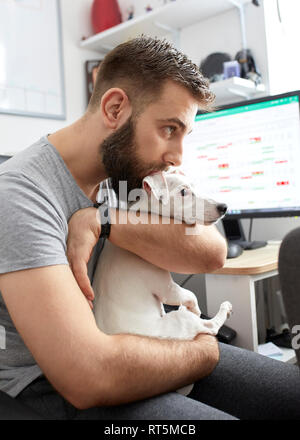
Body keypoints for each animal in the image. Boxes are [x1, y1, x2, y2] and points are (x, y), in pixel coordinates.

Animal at [92, 169, 232, 396]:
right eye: (184, 192)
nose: (224, 207)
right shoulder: (166, 289)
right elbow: (190, 295)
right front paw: (196, 308)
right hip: (179, 322)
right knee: (210, 326)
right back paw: (222, 309)